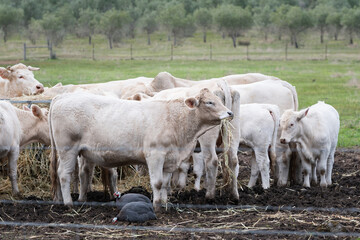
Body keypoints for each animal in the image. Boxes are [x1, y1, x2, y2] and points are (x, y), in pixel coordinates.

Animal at [49, 89, 232, 209]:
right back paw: (68, 203)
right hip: (67, 149)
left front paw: (164, 203)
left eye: (219, 99)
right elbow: (157, 183)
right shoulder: (155, 155)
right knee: (64, 174)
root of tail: (63, 96)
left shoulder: (169, 159)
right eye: (210, 102)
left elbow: (165, 184)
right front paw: (156, 206)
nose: (230, 113)